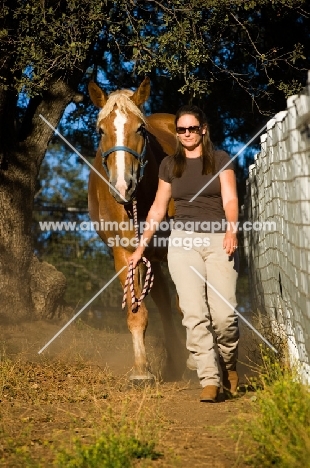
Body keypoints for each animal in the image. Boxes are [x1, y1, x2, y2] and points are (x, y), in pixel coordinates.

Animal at [87, 77, 184, 384]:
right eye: (100, 130)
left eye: (140, 129)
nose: (122, 186)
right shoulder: (124, 253)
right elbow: (137, 312)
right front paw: (141, 370)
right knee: (162, 299)